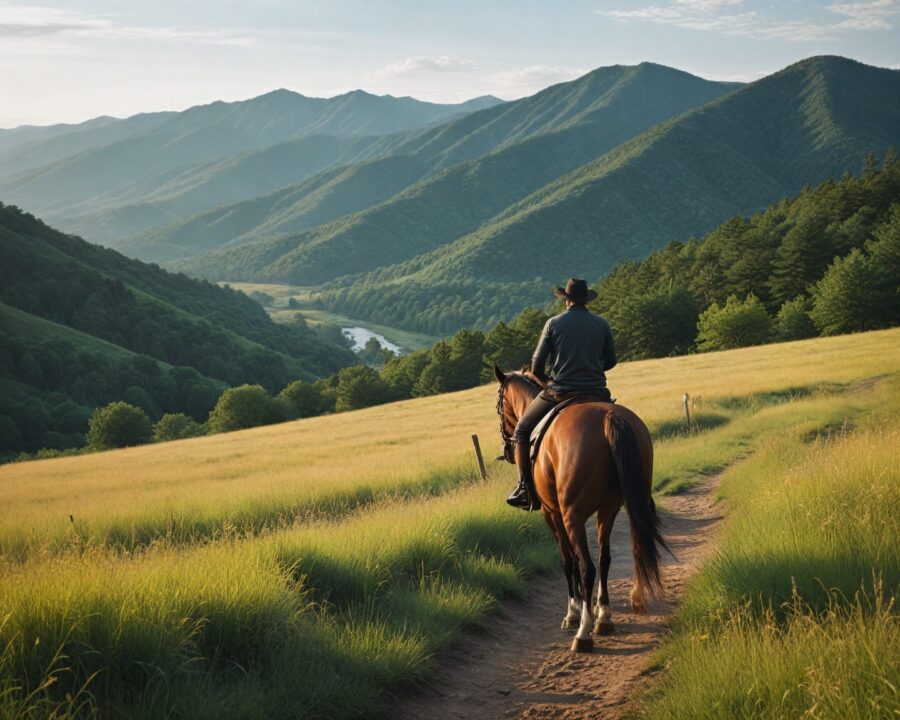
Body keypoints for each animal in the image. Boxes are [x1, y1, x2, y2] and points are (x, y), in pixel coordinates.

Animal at [494, 365, 669, 652]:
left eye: (499, 405)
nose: (507, 450)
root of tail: (608, 418)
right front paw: (596, 609)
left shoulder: (553, 514)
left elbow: (568, 562)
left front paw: (572, 612)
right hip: (615, 507)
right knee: (611, 556)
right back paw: (608, 615)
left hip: (572, 516)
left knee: (587, 566)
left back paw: (584, 632)